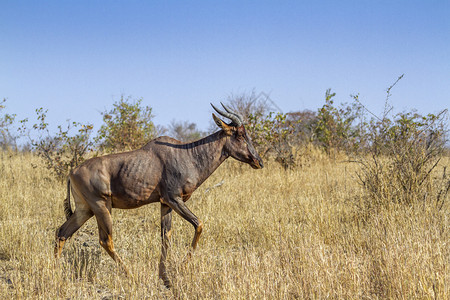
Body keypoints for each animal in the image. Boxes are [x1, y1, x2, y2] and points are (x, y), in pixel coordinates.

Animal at [55, 103, 264, 288]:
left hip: (85, 209)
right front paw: (181, 268)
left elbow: (166, 236)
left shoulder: (165, 204)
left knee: (62, 232)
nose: (258, 161)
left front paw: (166, 278)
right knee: (105, 240)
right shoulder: (173, 199)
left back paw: (56, 274)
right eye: (239, 134)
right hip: (102, 207)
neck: (187, 154)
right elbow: (199, 224)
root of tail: (72, 172)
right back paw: (131, 276)